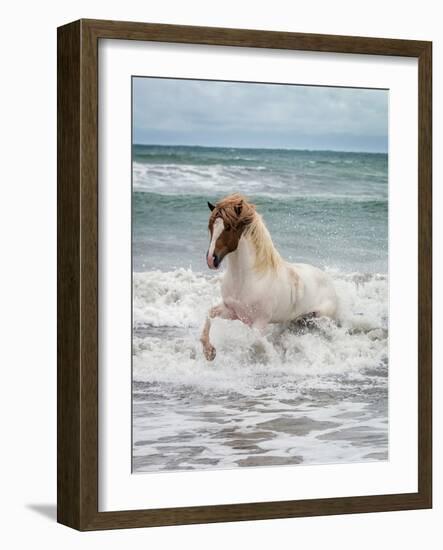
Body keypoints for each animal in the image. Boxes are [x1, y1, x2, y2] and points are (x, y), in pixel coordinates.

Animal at [200, 194, 336, 362]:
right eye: (211, 227)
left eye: (229, 227)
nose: (211, 260)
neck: (246, 279)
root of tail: (329, 282)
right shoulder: (233, 312)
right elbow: (209, 314)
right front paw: (209, 352)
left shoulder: (259, 321)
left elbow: (253, 340)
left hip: (319, 319)